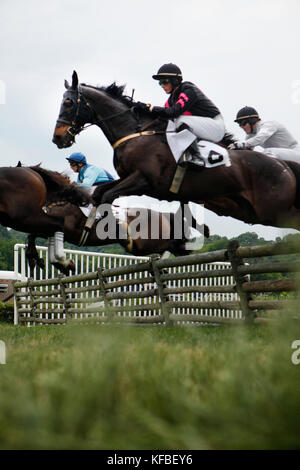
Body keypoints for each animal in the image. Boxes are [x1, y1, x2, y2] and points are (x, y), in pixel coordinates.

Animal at [52, 70, 300, 230]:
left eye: (68, 103)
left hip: (273, 210)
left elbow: (107, 195)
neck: (135, 133)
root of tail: (282, 165)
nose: (58, 138)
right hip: (247, 210)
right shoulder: (130, 178)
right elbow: (99, 193)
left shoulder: (143, 180)